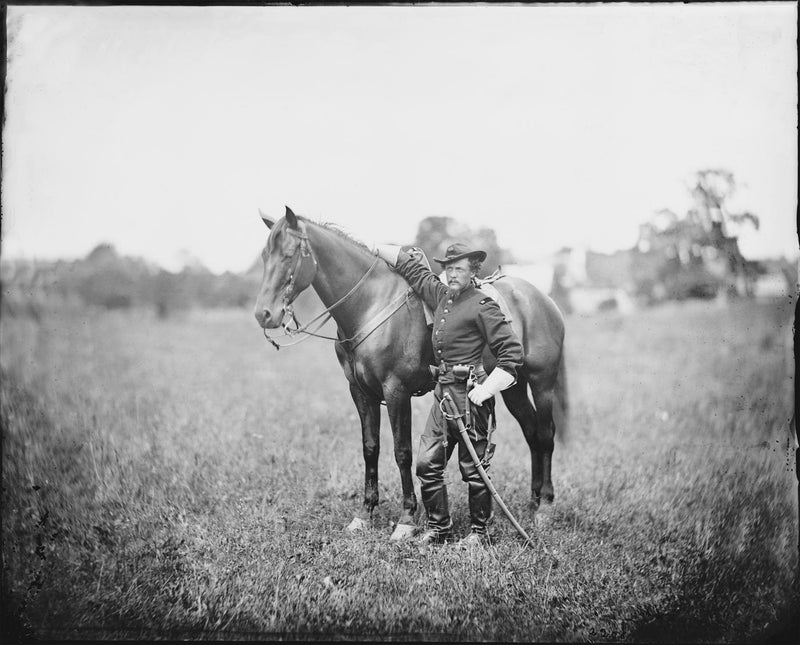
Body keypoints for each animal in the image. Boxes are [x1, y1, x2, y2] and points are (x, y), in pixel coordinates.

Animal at [253, 206, 564, 540]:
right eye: (265, 256)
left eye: (288, 255)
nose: (264, 314)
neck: (369, 304)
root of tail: (541, 298)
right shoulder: (360, 392)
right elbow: (370, 448)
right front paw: (365, 513)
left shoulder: (396, 390)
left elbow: (402, 452)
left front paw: (407, 518)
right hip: (512, 388)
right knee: (531, 432)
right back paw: (533, 502)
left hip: (542, 383)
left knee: (545, 434)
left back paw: (545, 507)